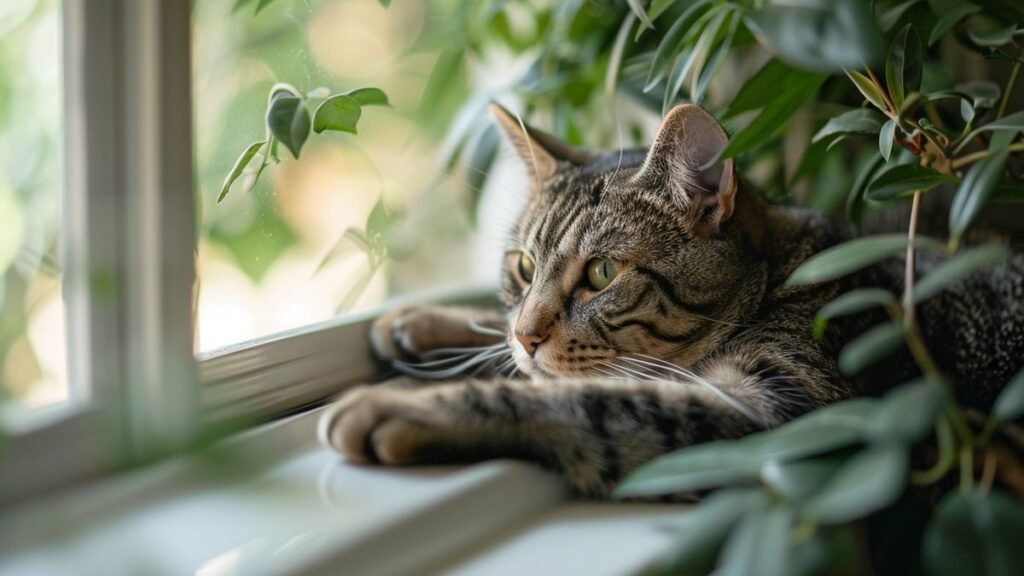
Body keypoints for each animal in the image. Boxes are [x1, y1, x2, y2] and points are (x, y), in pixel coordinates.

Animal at [315, 103, 1019, 498]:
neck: (786, 276)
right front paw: (429, 321)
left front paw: (405, 405)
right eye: (524, 266)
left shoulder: (782, 411)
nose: (527, 335)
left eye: (601, 273)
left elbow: (591, 400)